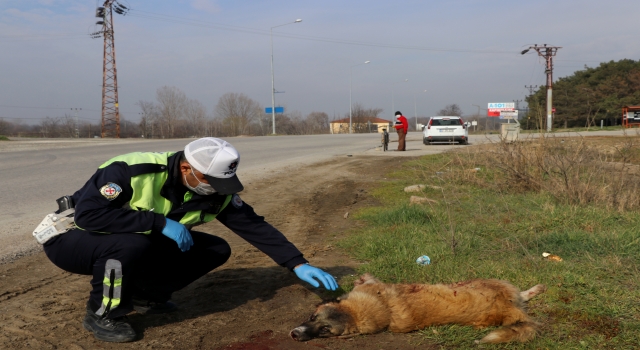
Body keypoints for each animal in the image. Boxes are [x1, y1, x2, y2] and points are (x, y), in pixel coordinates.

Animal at [290, 272, 544, 344]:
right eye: (312, 318)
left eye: (324, 329)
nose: (295, 334)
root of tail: (510, 310)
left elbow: (366, 280)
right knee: (522, 296)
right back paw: (534, 290)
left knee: (521, 294)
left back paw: (534, 289)